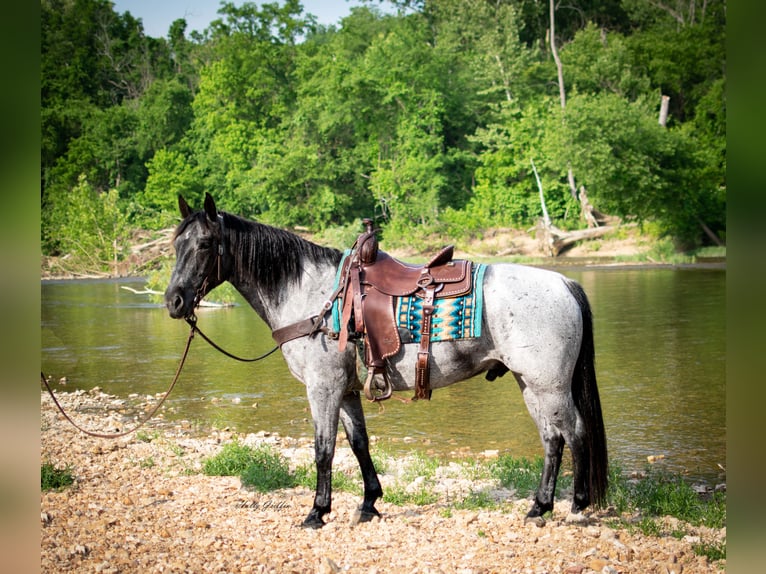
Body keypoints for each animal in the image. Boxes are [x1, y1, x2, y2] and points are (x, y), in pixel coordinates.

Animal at [165, 195, 608, 532]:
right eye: (175, 245)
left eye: (204, 245)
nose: (174, 301)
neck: (314, 297)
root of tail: (564, 283)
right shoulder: (345, 390)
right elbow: (358, 443)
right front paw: (368, 504)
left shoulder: (322, 388)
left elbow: (323, 449)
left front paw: (317, 512)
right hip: (530, 384)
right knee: (552, 440)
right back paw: (539, 507)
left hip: (548, 385)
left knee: (575, 433)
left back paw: (578, 505)